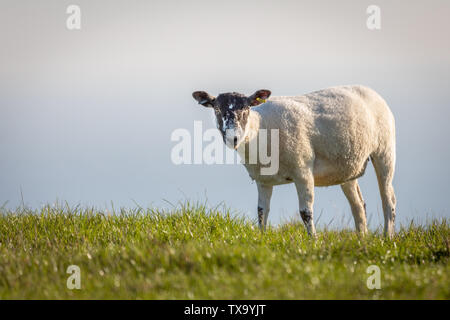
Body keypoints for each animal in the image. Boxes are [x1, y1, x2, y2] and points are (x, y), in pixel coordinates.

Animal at [193, 85, 398, 238]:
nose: (233, 138)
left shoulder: (303, 171)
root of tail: (370, 90)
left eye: (246, 109)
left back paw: (387, 238)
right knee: (358, 205)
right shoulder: (263, 180)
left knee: (388, 199)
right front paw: (262, 238)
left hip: (385, 150)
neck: (261, 129)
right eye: (217, 109)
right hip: (348, 166)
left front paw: (313, 240)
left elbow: (306, 213)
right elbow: (261, 212)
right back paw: (362, 238)